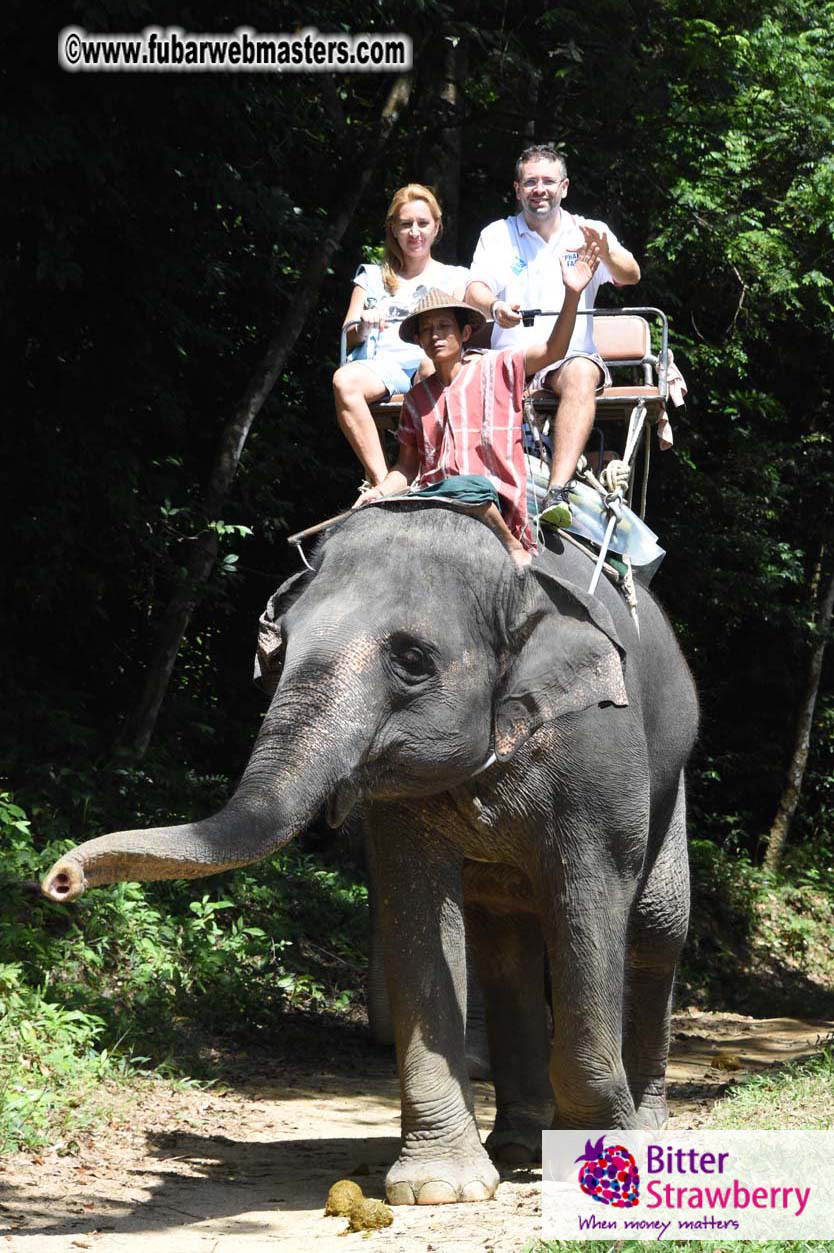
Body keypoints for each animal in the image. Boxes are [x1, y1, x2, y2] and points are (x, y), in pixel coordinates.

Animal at [42, 500, 698, 1206]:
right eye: (276, 648)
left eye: (411, 658)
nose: (60, 878)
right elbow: (415, 909)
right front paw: (439, 1188)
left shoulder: (599, 747)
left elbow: (590, 897)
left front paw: (600, 1169)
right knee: (504, 941)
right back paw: (517, 1145)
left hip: (672, 782)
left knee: (657, 927)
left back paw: (644, 1128)